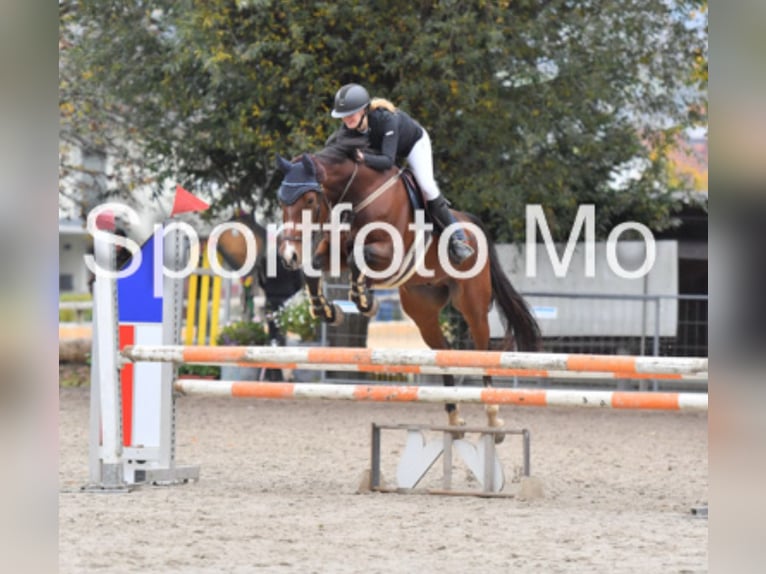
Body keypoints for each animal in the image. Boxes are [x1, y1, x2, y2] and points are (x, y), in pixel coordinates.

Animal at [276, 135, 540, 432]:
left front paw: (366, 301)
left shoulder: (391, 253)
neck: (357, 195)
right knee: (444, 352)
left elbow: (359, 256)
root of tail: (471, 226)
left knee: (483, 351)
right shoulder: (335, 251)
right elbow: (316, 267)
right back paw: (454, 414)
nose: (288, 255)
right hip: (422, 310)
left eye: (309, 199)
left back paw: (493, 414)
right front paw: (329, 311)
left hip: (473, 304)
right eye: (280, 202)